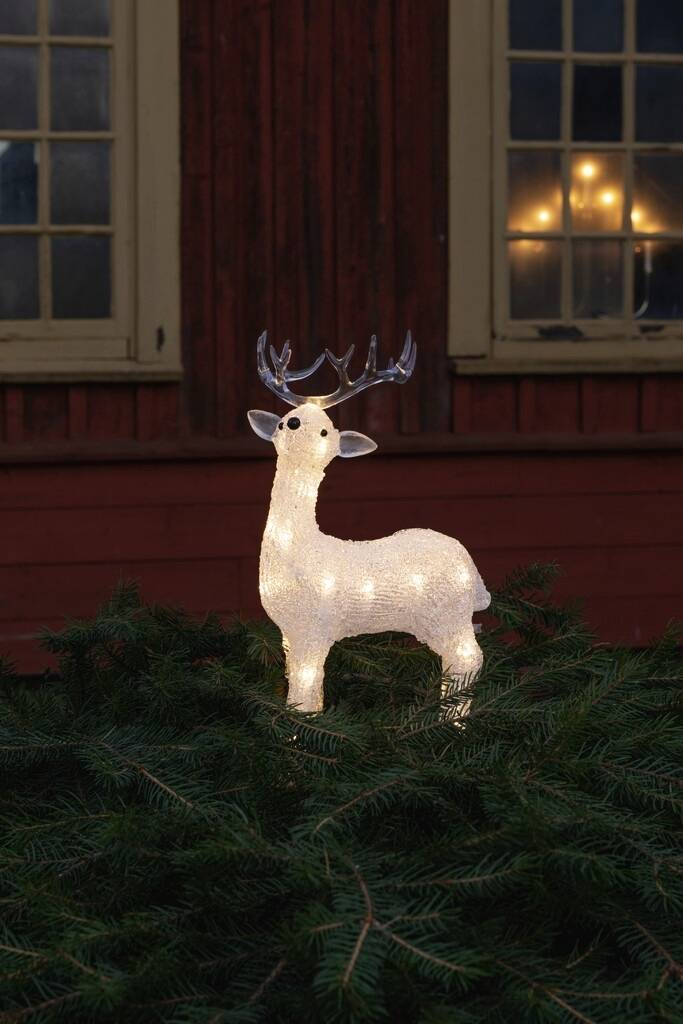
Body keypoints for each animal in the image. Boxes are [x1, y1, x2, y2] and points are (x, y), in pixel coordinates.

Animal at [248, 331, 490, 714]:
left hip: (447, 614)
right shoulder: (289, 632)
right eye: (286, 418)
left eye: (325, 432)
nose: (294, 424)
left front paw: (300, 727)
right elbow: (302, 686)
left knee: (467, 659)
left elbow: (304, 690)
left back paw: (451, 720)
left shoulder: (314, 626)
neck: (300, 546)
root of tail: (473, 572)